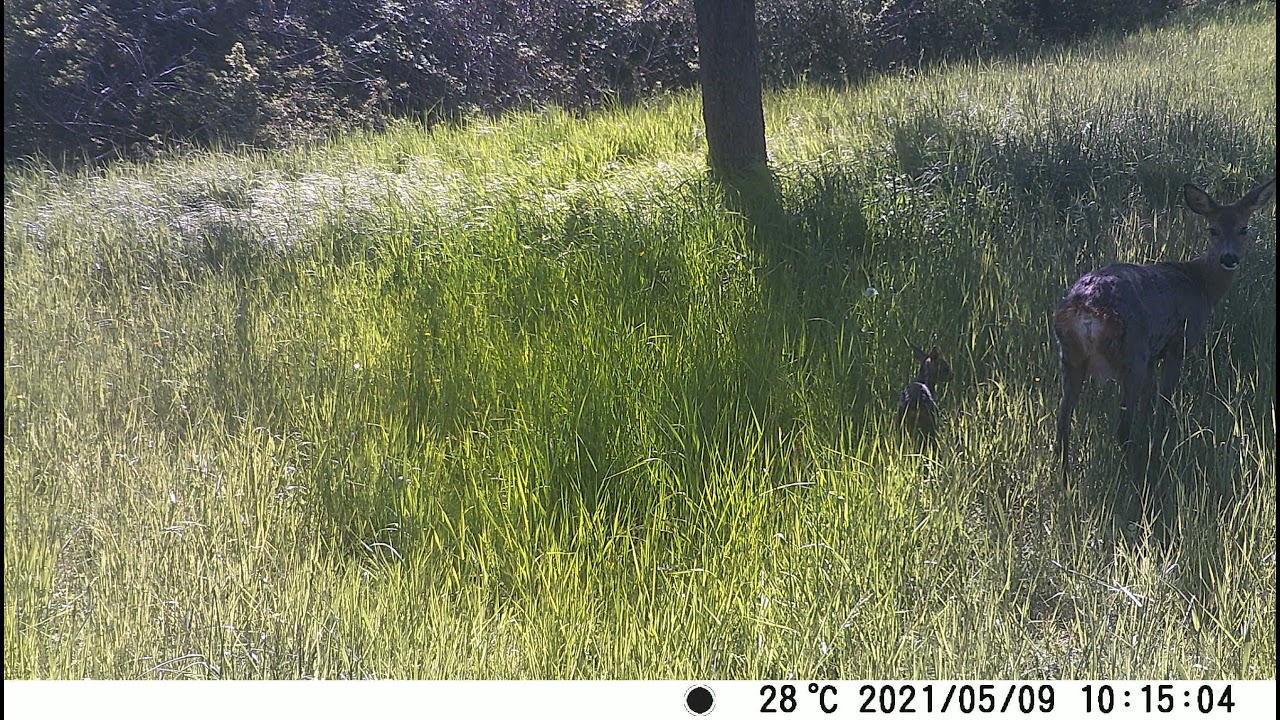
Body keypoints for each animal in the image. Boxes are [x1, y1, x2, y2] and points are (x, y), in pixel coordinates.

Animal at [1053, 177, 1276, 482]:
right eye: (1212, 229)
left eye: (1244, 228)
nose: (1229, 258)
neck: (1201, 284)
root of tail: (1086, 308)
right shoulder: (1178, 342)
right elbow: (1164, 400)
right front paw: (1159, 440)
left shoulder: (1153, 354)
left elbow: (1147, 403)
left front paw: (1147, 435)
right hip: (1131, 353)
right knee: (1120, 426)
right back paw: (1134, 471)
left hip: (1070, 356)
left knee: (1062, 421)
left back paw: (1065, 477)